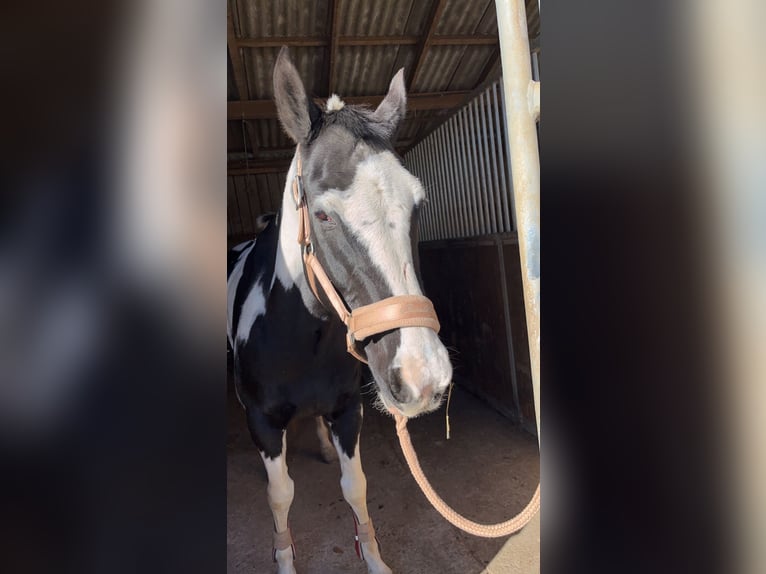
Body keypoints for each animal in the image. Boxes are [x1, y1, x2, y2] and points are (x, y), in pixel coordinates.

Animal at [227, 47, 453, 574]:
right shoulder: (262, 421)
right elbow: (280, 496)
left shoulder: (349, 411)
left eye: (418, 203)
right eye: (323, 214)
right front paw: (284, 559)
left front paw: (373, 559)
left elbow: (356, 489)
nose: (423, 378)